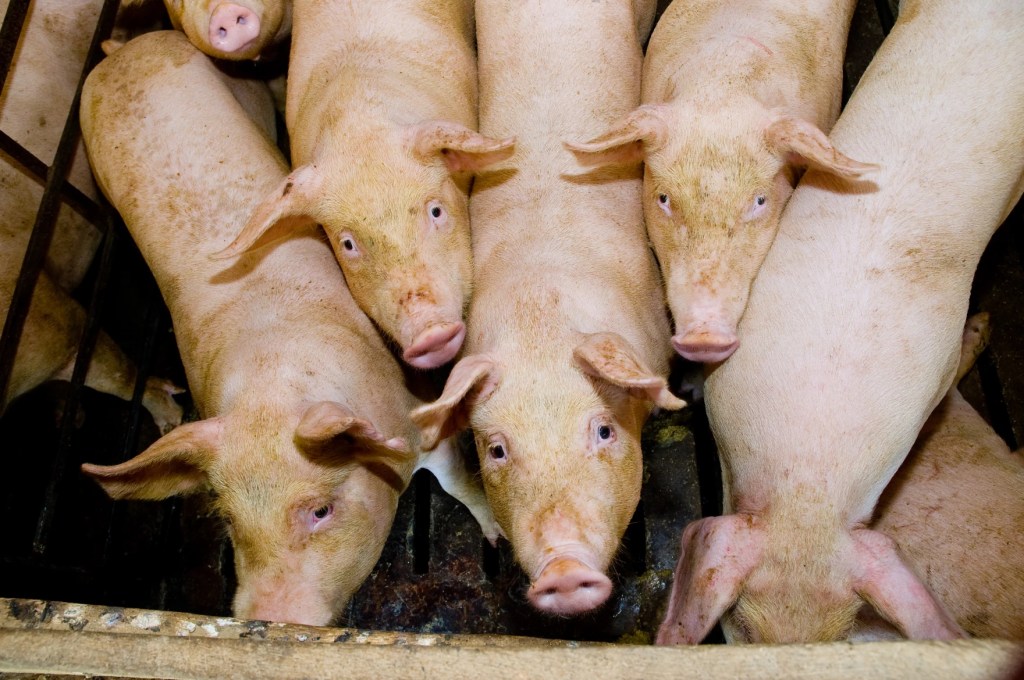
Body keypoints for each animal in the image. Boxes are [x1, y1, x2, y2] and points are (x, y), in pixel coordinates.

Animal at [79, 30, 497, 625]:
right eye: (231, 523)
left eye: (320, 510)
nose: (270, 616)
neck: (271, 382)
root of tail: (120, 54)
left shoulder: (414, 423)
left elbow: (461, 480)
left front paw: (496, 536)